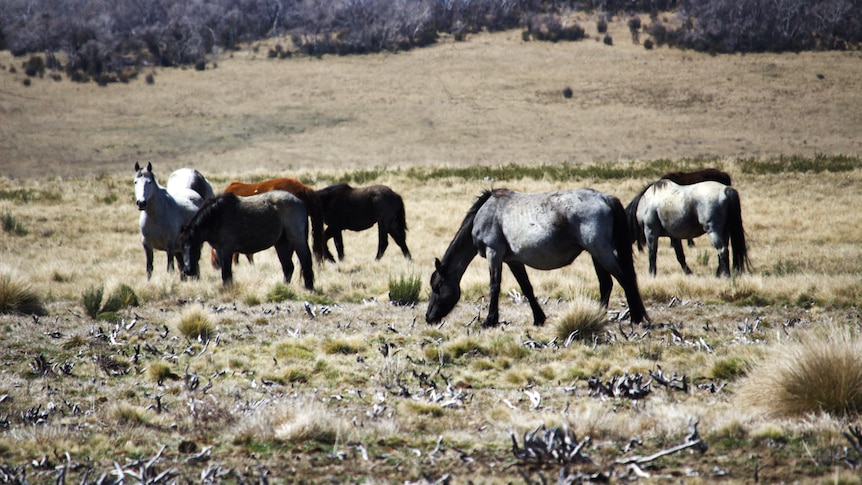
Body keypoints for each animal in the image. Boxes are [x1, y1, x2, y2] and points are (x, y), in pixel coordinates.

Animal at [180, 189, 318, 288]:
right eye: (182, 247)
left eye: (195, 246)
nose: (188, 270)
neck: (217, 217)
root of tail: (300, 202)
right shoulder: (219, 250)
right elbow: (225, 273)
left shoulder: (227, 250)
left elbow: (226, 273)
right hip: (281, 243)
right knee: (288, 267)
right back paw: (284, 288)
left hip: (297, 239)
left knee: (305, 261)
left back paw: (309, 287)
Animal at [426, 187, 648, 328]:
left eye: (437, 287)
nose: (429, 317)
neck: (485, 213)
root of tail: (605, 198)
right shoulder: (513, 260)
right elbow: (526, 287)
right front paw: (539, 318)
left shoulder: (493, 253)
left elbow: (494, 286)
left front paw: (490, 321)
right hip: (596, 254)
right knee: (606, 283)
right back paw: (599, 316)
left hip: (601, 252)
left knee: (625, 279)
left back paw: (636, 317)